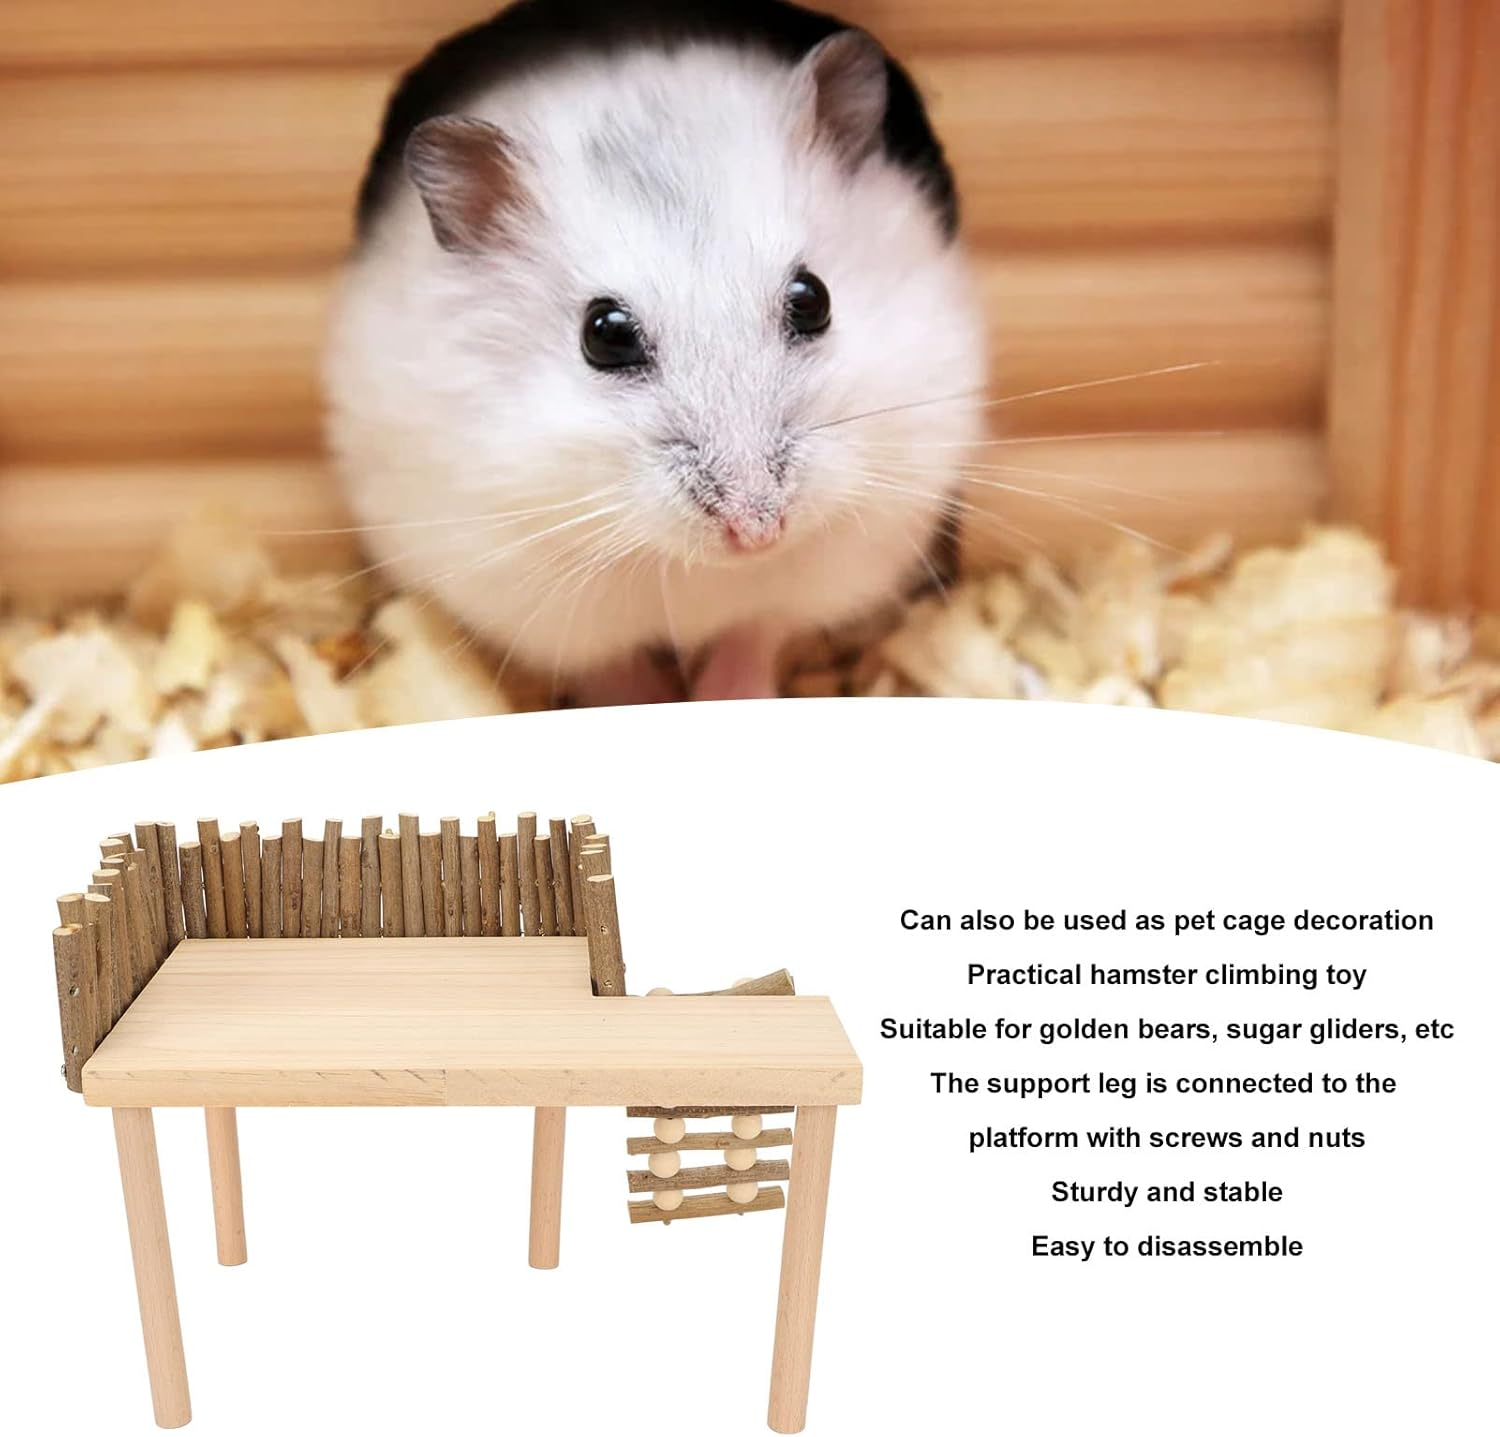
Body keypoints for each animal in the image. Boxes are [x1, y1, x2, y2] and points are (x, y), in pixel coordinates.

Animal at [324, 0, 986, 702]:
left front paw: (730, 694)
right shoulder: (540, 603)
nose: (758, 532)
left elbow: (754, 634)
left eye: (813, 299)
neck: (695, 568)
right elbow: (612, 669)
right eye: (605, 334)